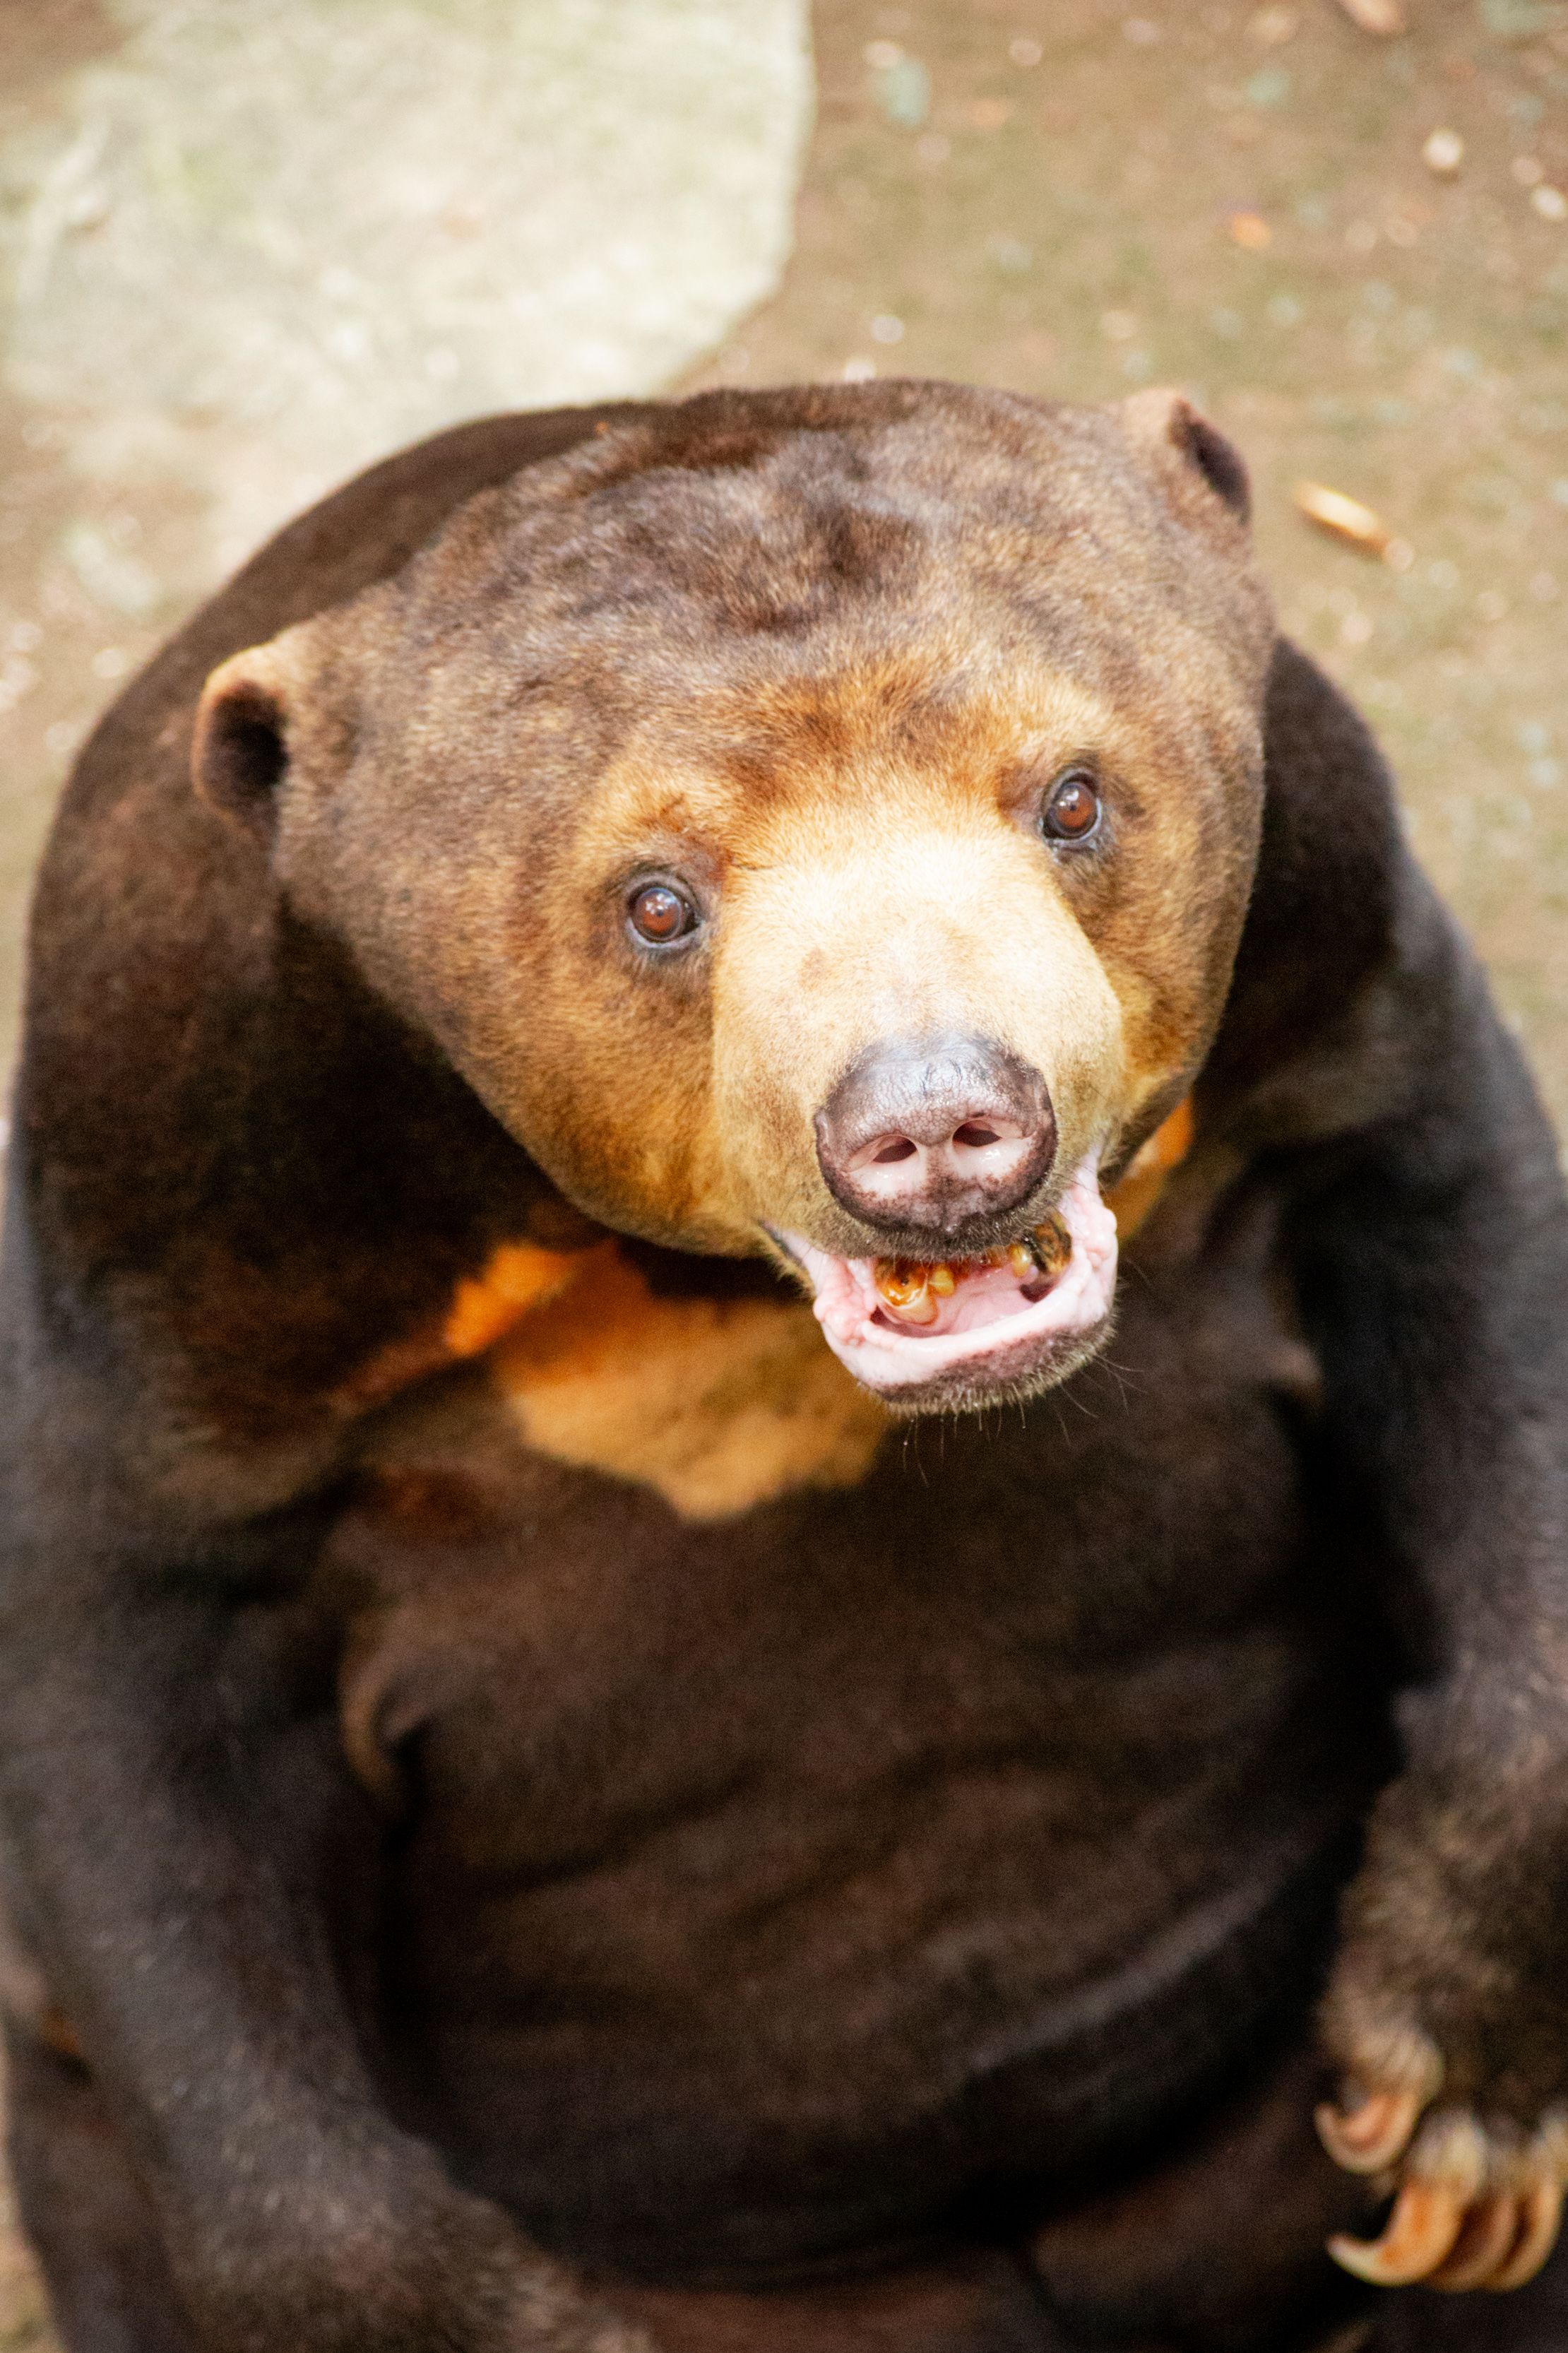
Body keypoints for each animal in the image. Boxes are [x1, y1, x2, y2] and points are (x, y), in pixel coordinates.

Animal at [2, 378, 1568, 2353]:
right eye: (659, 902)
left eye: (1071, 798)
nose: (942, 1125)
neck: (690, 1286)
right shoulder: (179, 1215)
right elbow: (140, 1741)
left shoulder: (1329, 961)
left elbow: (1466, 1277)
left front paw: (1453, 2113)